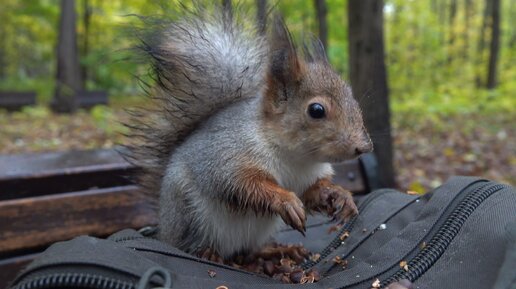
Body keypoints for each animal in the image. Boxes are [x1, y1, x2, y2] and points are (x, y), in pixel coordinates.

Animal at [128, 5, 370, 258]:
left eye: (354, 100)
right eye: (316, 110)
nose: (364, 147)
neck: (296, 158)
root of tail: (164, 231)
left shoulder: (307, 177)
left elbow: (312, 192)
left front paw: (339, 195)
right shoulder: (227, 157)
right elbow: (243, 184)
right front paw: (286, 200)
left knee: (251, 251)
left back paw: (279, 251)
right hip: (188, 212)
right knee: (195, 243)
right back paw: (208, 254)